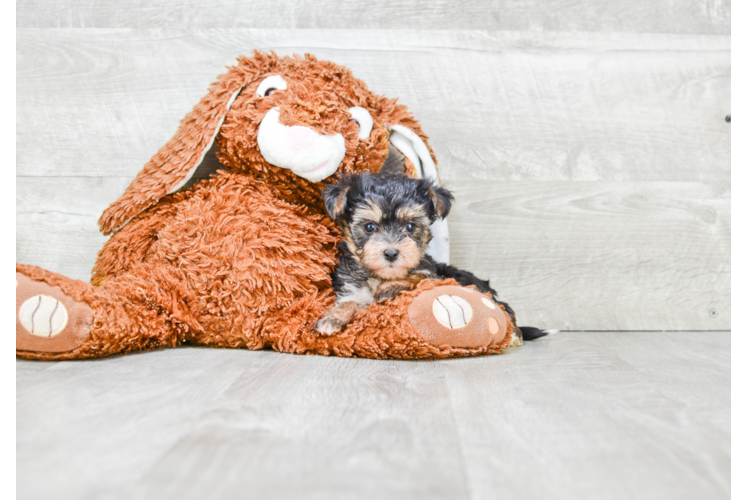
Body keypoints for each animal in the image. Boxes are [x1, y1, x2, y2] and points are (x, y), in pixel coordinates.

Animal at [316, 172, 548, 336]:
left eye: (410, 226)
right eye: (370, 227)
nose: (391, 253)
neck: (380, 276)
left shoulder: (433, 274)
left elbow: (418, 277)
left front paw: (390, 287)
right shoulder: (351, 289)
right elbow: (350, 302)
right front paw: (333, 318)